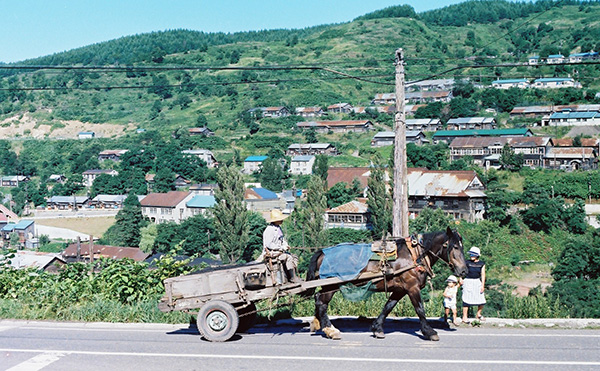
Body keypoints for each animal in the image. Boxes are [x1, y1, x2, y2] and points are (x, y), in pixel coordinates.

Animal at [304, 225, 468, 342]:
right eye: (454, 246)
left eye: (462, 246)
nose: (464, 271)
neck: (415, 256)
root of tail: (323, 252)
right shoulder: (412, 288)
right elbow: (420, 309)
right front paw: (430, 332)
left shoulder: (400, 289)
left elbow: (388, 307)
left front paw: (377, 328)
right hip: (331, 286)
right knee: (322, 302)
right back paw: (330, 330)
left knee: (319, 299)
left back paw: (319, 324)